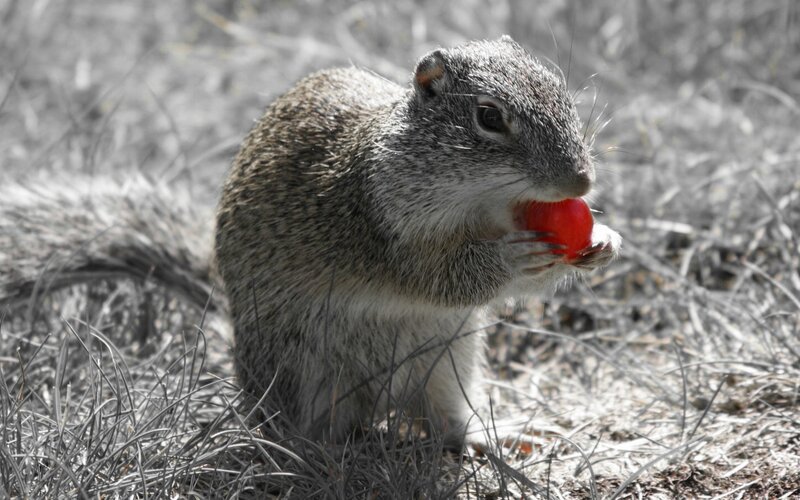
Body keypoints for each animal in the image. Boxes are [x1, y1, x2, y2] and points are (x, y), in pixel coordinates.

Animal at [0, 36, 620, 448]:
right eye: (489, 117)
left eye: (563, 94)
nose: (580, 183)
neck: (485, 205)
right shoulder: (376, 223)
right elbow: (441, 277)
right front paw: (510, 255)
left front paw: (605, 240)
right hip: (306, 373)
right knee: (304, 430)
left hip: (449, 366)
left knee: (444, 423)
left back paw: (491, 437)